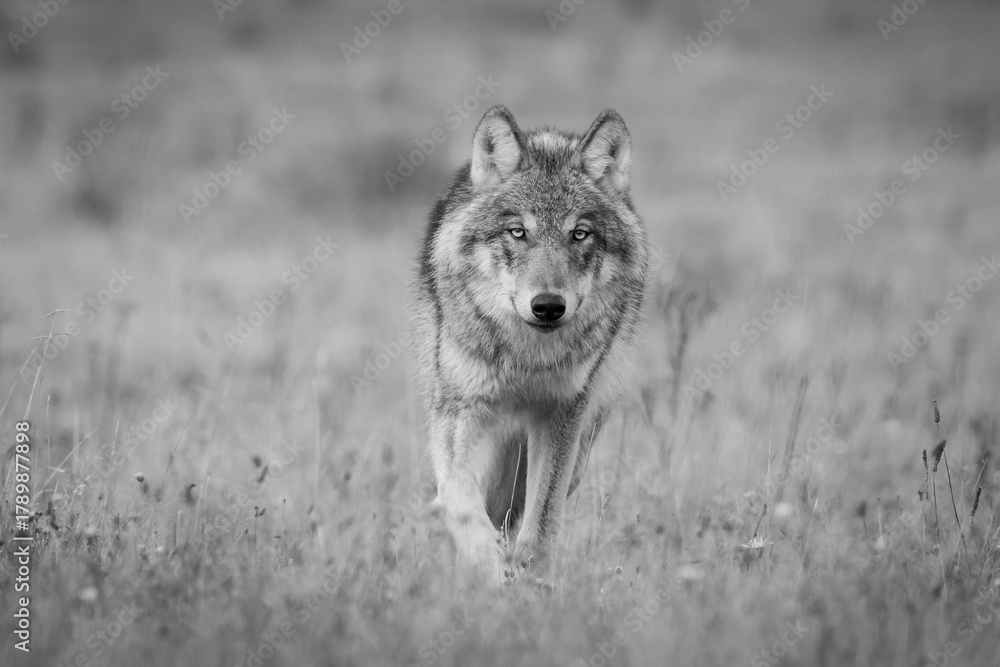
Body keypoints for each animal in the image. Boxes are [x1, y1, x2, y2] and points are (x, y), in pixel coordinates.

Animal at [411, 105, 648, 585]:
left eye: (580, 234)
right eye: (518, 232)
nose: (548, 306)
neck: (526, 360)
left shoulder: (561, 414)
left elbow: (541, 522)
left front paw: (527, 578)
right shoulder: (455, 410)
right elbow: (460, 502)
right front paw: (489, 567)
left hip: (577, 441)